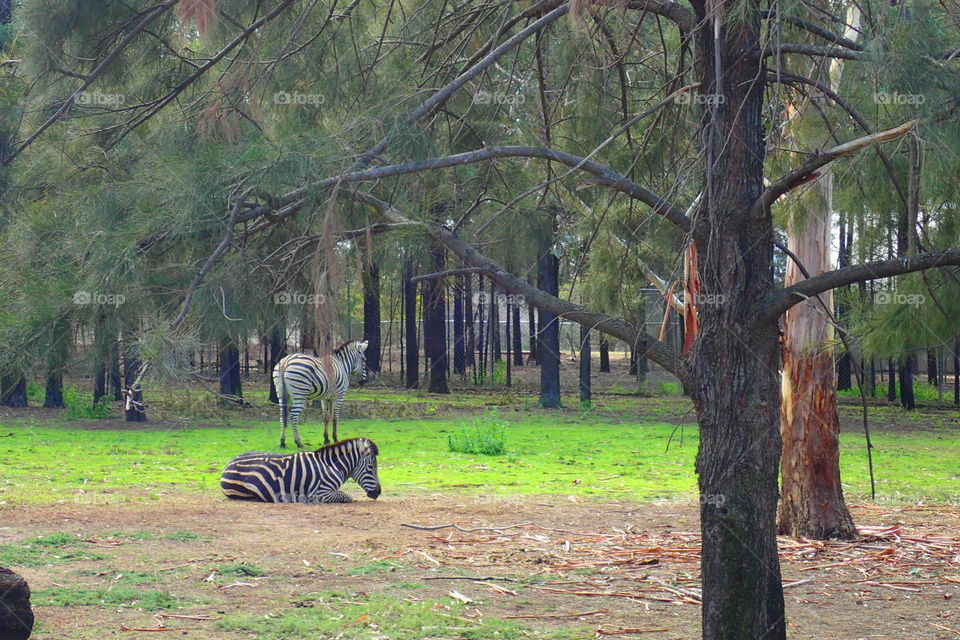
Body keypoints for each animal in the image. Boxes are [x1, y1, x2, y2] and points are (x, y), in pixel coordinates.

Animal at [220, 437, 381, 503]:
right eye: (371, 468)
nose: (378, 492)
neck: (331, 466)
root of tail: (229, 463)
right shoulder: (319, 493)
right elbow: (347, 496)